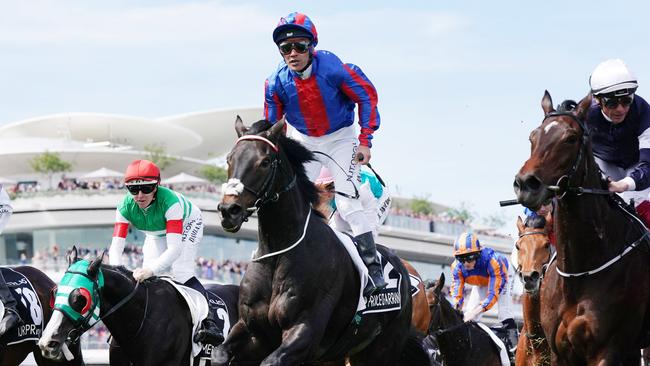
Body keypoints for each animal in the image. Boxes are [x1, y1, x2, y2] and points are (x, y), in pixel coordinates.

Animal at [213, 118, 416, 364]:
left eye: (265, 162)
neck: (279, 250)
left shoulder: (304, 331)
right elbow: (219, 353)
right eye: (229, 158)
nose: (229, 210)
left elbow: (272, 360)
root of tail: (403, 268)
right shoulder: (252, 330)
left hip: (383, 349)